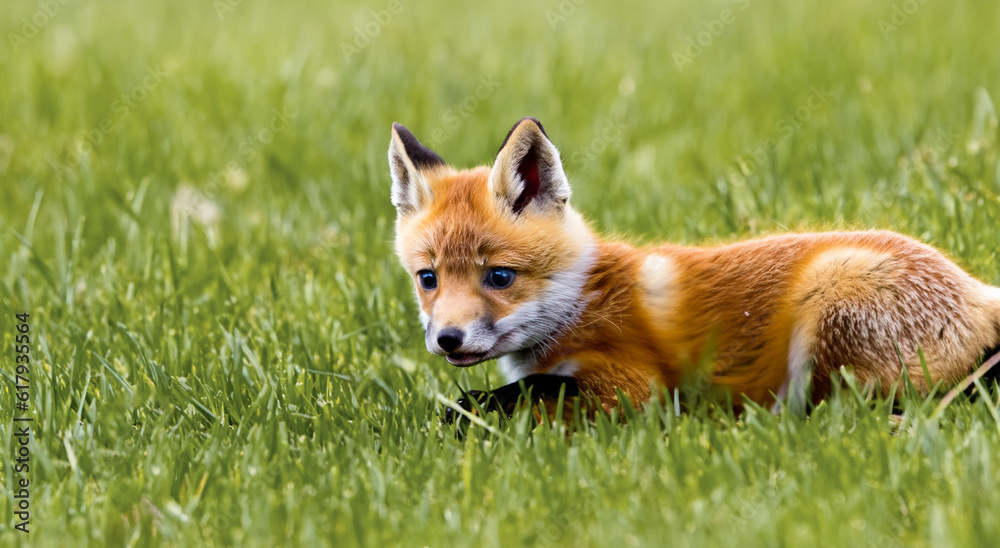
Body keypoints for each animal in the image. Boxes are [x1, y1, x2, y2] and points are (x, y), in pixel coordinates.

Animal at [388, 117, 1000, 415]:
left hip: (829, 306)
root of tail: (976, 289)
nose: (447, 339)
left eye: (500, 277)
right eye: (428, 279)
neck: (579, 300)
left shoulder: (632, 386)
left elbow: (524, 395)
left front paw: (453, 416)